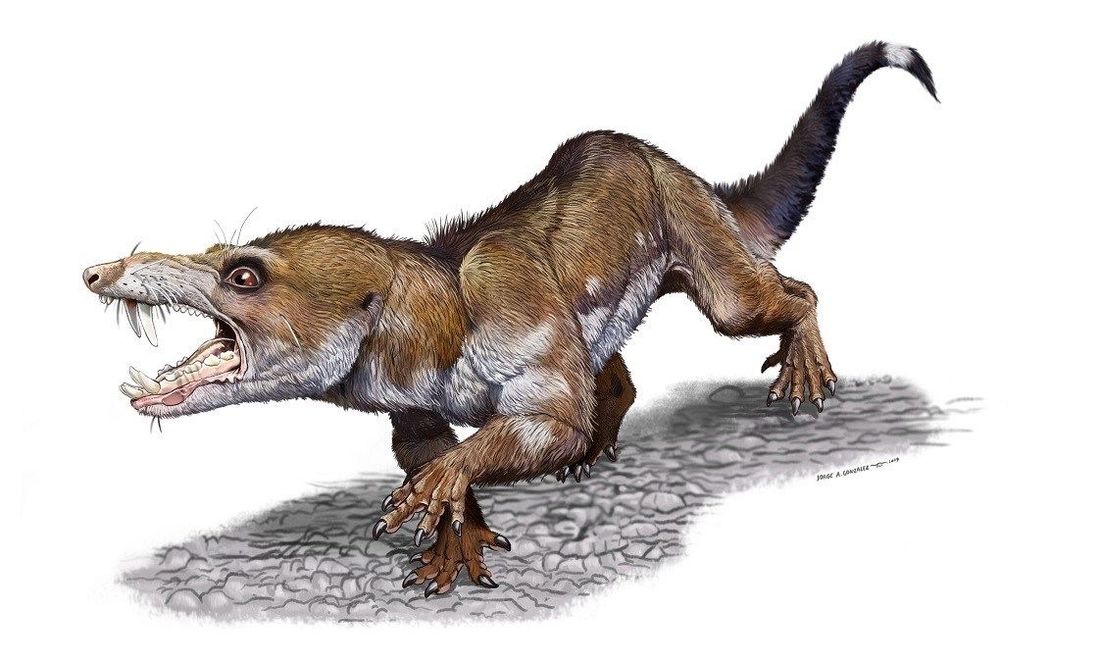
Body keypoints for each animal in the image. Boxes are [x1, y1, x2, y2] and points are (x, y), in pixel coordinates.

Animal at [83, 42, 936, 596]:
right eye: (217, 249)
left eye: (243, 273)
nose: (100, 271)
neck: (431, 309)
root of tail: (683, 169)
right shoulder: (412, 402)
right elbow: (430, 452)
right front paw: (454, 544)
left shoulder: (520, 318)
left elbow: (532, 427)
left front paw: (443, 495)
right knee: (613, 377)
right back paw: (593, 453)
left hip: (705, 249)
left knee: (778, 297)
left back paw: (803, 366)